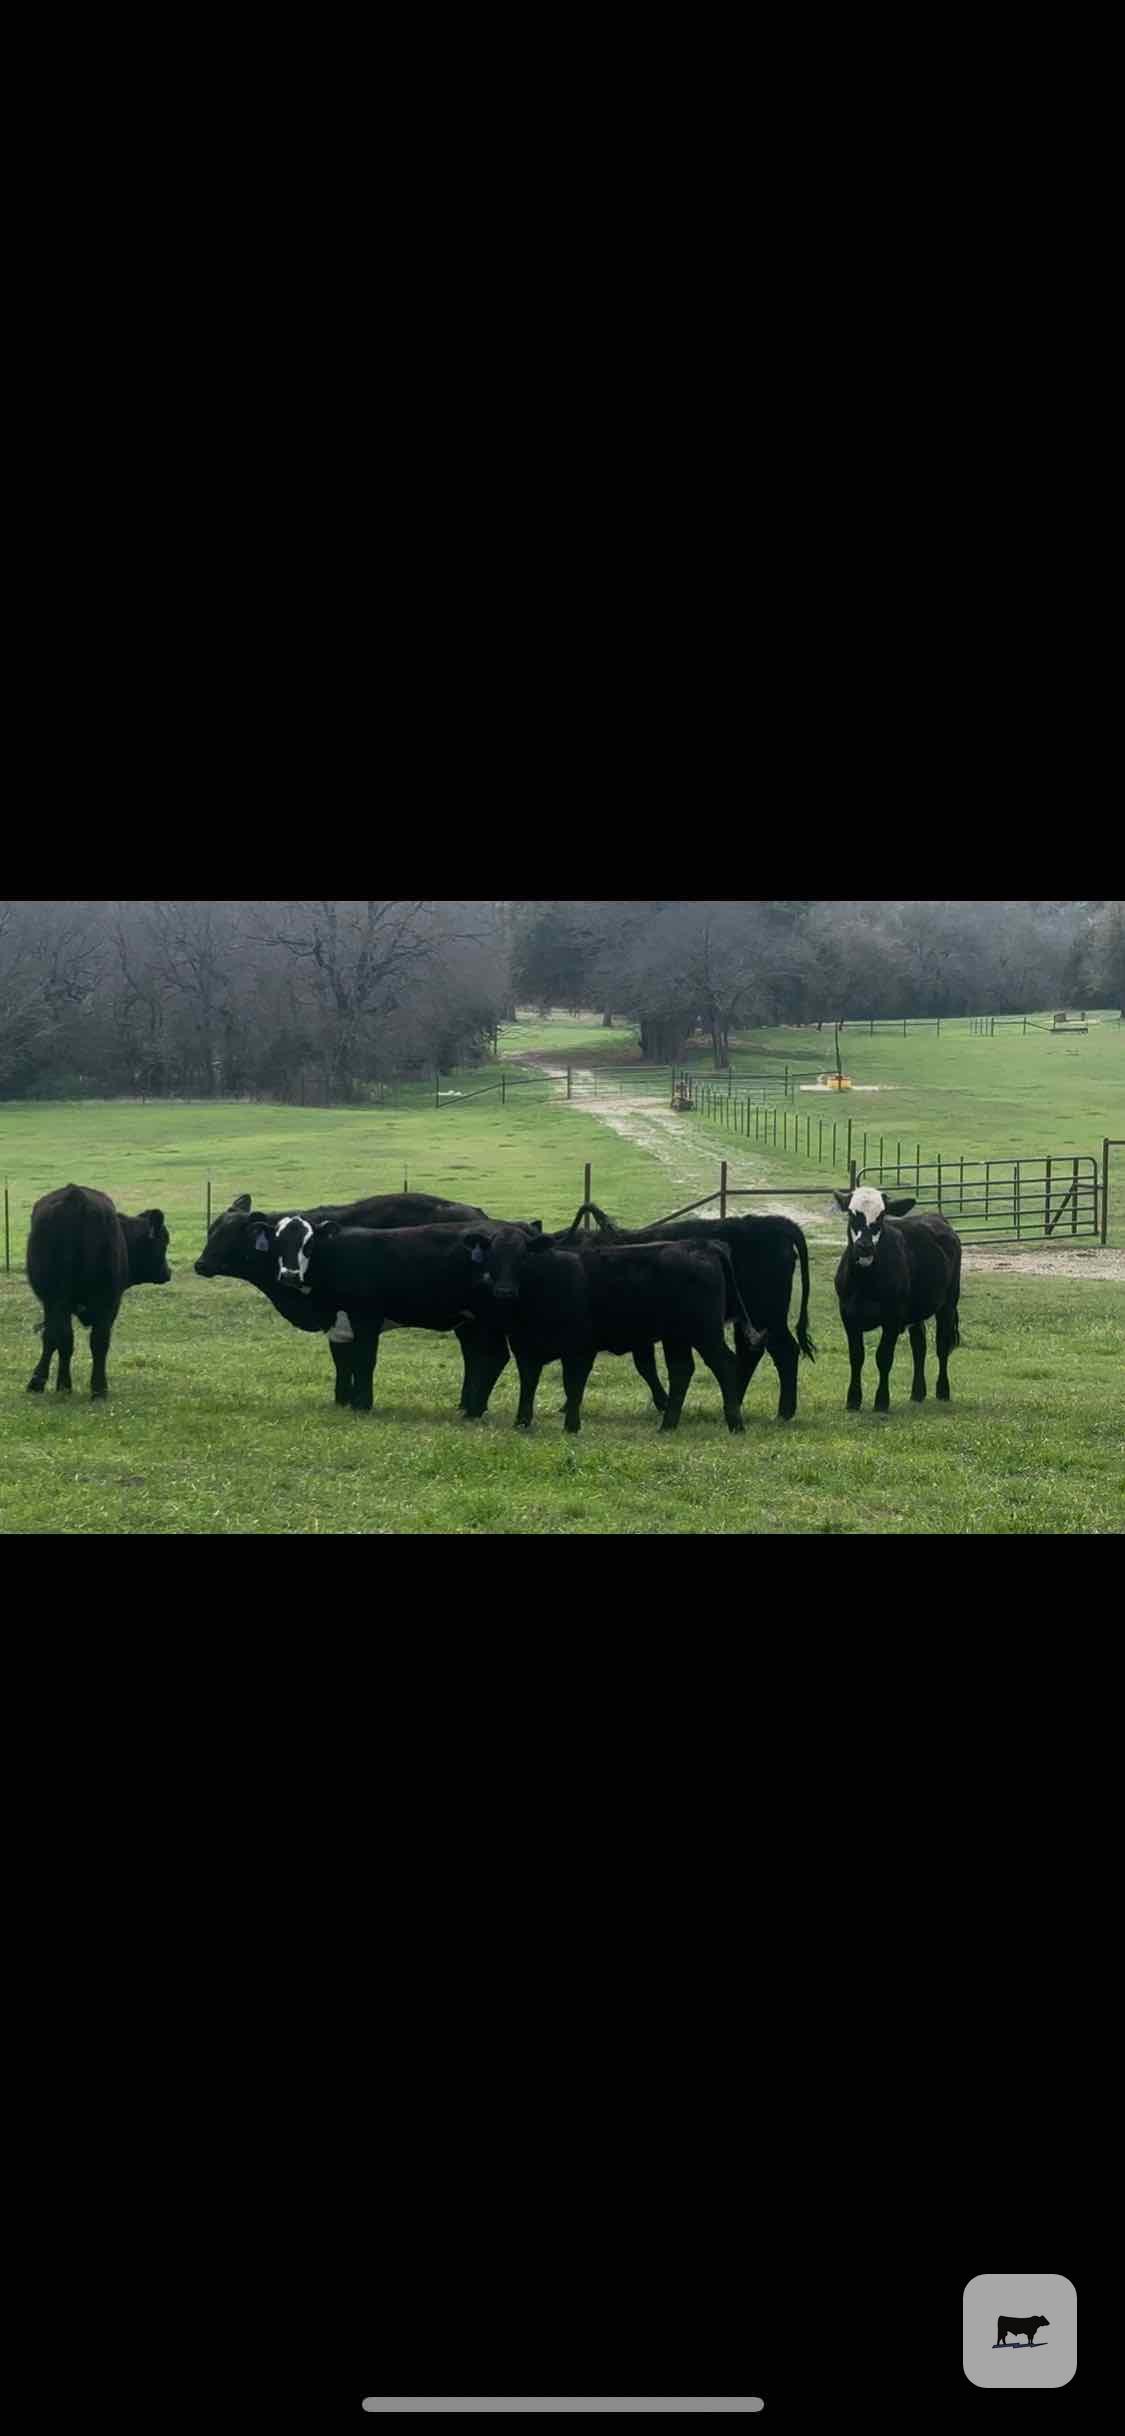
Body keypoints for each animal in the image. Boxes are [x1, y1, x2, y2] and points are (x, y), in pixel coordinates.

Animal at [26, 1183, 170, 1398]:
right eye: (164, 1242)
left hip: (62, 1298)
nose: (167, 1272)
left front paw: (38, 1381)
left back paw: (69, 1386)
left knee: (67, 1337)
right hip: (95, 1300)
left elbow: (51, 1338)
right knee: (92, 1340)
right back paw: (94, 1388)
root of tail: (76, 1197)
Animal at [194, 1191, 499, 1410]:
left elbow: (361, 1360)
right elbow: (342, 1360)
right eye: (211, 1230)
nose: (201, 1264)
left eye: (230, 1234)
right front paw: (342, 1400)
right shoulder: (336, 1320)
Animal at [463, 1217, 766, 1433]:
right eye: (492, 1257)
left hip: (704, 1331)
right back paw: (668, 1425)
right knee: (681, 1371)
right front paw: (522, 1422)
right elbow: (529, 1383)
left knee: (723, 1364)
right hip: (676, 1336)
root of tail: (701, 1244)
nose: (504, 1292)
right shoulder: (524, 1346)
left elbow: (573, 1385)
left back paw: (735, 1424)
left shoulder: (580, 1348)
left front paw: (571, 1426)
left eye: (523, 1256)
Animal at [575, 1203, 815, 1420]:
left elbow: (645, 1366)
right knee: (751, 1352)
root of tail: (773, 1223)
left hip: (767, 1314)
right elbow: (646, 1366)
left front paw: (663, 1402)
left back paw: (782, 1412)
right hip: (751, 1319)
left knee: (783, 1351)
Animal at [832, 1185, 961, 1413]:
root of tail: (936, 1217)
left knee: (942, 1346)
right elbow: (856, 1356)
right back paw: (917, 1393)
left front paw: (882, 1401)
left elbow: (884, 1357)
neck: (865, 1282)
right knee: (919, 1346)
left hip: (948, 1303)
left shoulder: (892, 1318)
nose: (865, 1246)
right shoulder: (848, 1315)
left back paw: (942, 1391)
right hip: (917, 1311)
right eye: (851, 1213)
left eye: (882, 1216)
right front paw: (853, 1400)